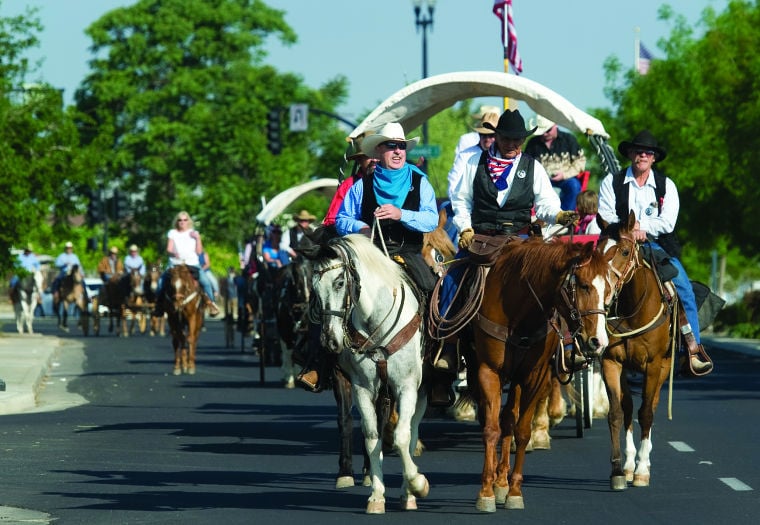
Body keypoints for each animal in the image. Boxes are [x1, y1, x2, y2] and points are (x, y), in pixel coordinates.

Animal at [308, 233, 428, 512]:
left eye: (340, 282)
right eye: (314, 287)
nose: (330, 340)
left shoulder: (406, 385)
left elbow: (402, 436)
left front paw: (417, 484)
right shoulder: (362, 388)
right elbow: (372, 436)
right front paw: (376, 494)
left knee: (412, 429)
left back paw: (408, 491)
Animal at [470, 235, 616, 510]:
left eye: (609, 291)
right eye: (582, 285)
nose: (599, 341)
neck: (519, 314)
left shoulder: (534, 376)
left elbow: (521, 431)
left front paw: (514, 491)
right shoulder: (488, 371)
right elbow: (491, 429)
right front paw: (485, 492)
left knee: (510, 418)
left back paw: (502, 481)